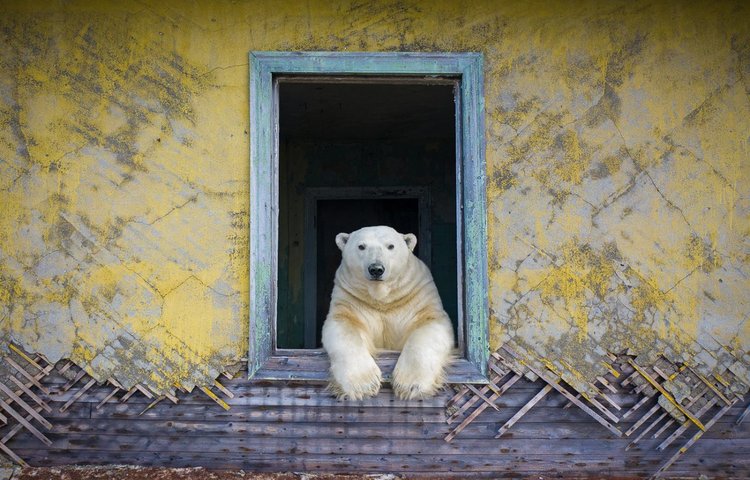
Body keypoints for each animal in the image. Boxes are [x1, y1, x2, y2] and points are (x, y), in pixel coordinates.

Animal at [322, 227, 456, 400]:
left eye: (391, 246)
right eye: (361, 246)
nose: (376, 269)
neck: (382, 299)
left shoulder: (417, 295)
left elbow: (429, 325)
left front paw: (410, 385)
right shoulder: (350, 299)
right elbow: (344, 326)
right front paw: (363, 385)